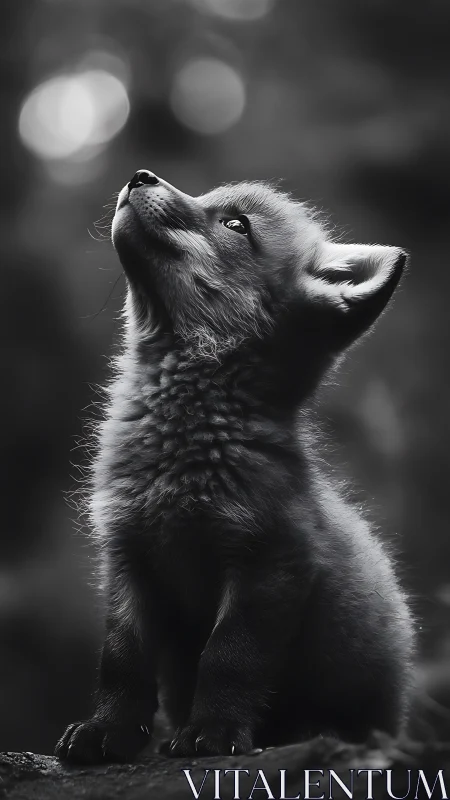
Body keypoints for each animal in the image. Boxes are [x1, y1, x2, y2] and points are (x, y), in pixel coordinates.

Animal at [55, 170, 414, 764]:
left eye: (236, 225)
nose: (140, 175)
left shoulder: (269, 564)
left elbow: (229, 659)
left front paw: (214, 732)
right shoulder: (127, 554)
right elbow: (122, 661)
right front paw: (107, 731)